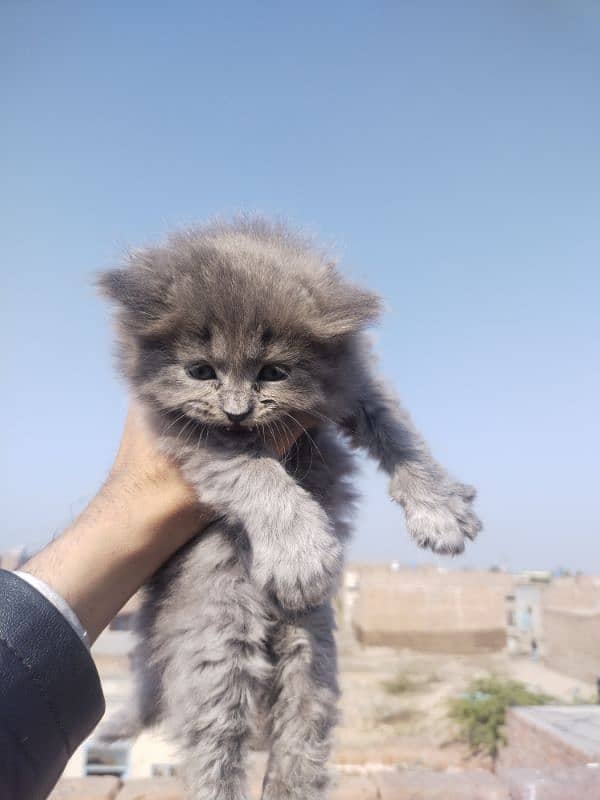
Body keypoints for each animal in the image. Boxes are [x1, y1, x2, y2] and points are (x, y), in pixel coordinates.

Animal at [98, 216, 482, 796]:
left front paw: (437, 509)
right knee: (215, 741)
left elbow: (398, 433)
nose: (237, 411)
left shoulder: (358, 383)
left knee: (302, 727)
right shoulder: (188, 433)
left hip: (312, 647)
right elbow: (259, 474)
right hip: (218, 635)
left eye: (274, 371)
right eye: (201, 371)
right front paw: (301, 554)